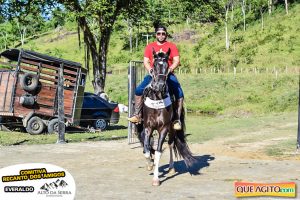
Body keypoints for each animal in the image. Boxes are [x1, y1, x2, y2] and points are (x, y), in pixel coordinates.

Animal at [137, 48, 196, 186]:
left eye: (167, 66)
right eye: (154, 65)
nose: (160, 86)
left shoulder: (163, 128)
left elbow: (158, 151)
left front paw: (156, 179)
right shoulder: (148, 127)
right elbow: (147, 150)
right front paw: (150, 165)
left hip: (172, 128)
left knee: (170, 143)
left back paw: (171, 167)